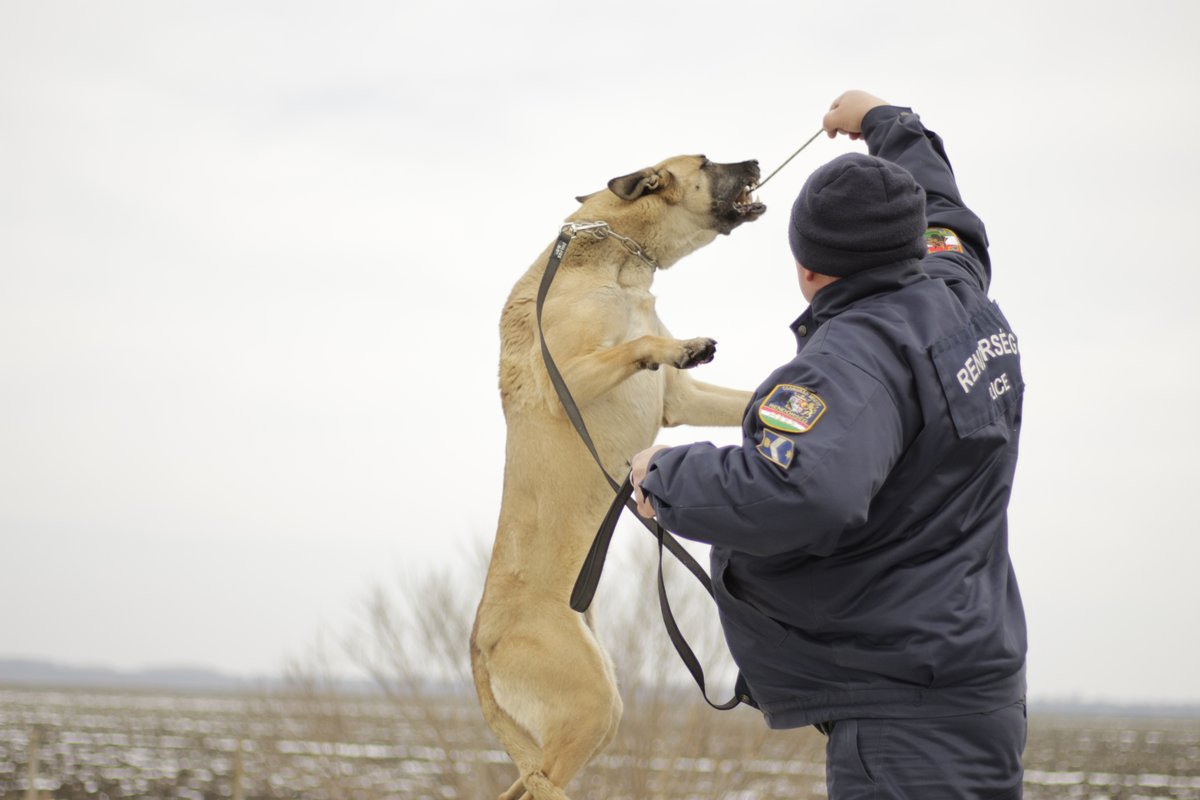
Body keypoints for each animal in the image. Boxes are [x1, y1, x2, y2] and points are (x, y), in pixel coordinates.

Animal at [470, 153, 763, 796]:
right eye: (706, 161)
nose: (755, 161)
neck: (619, 259)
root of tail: (478, 644)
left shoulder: (682, 398)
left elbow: (740, 397)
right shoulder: (570, 377)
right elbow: (642, 343)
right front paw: (680, 345)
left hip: (592, 712)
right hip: (590, 707)